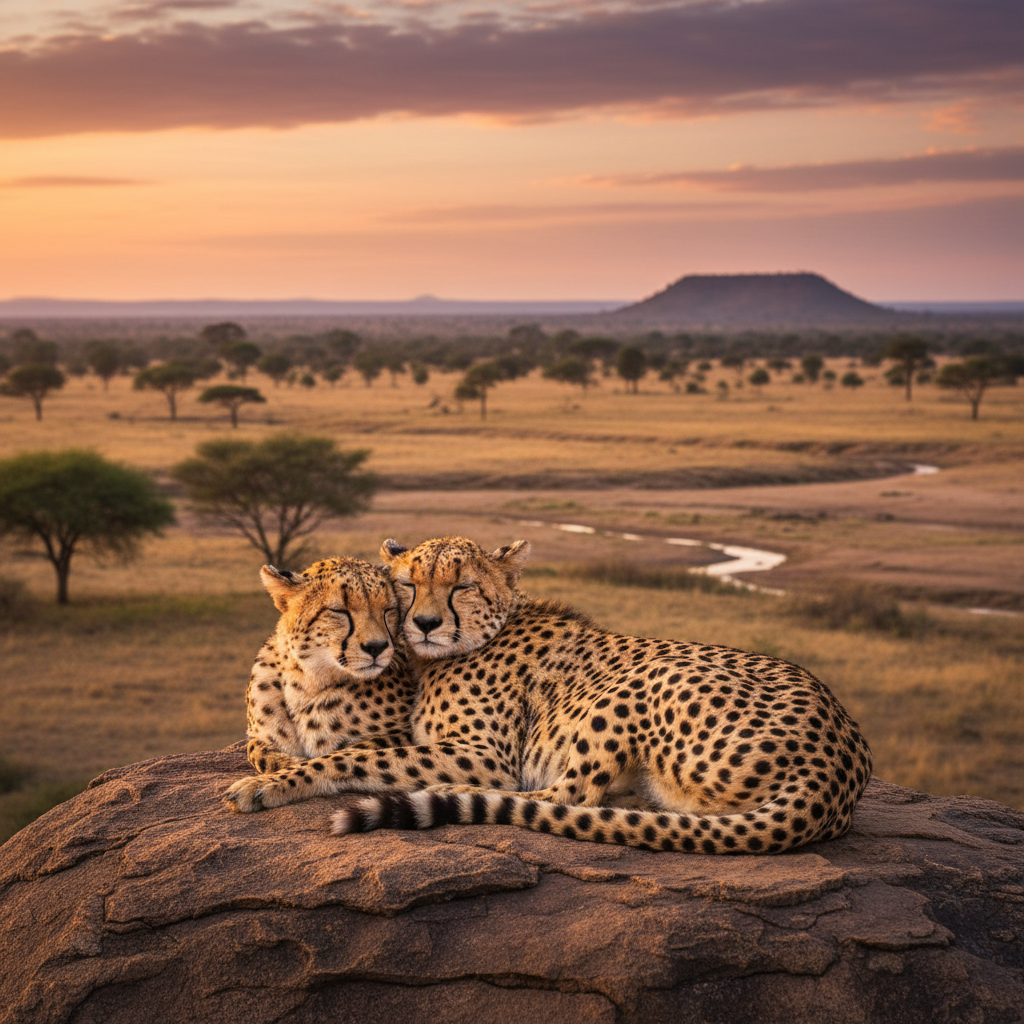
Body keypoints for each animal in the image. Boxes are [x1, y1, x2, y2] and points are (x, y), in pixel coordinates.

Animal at [224, 556, 418, 806]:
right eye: (339, 611)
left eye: (389, 610)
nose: (376, 647)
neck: (306, 682)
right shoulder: (260, 736)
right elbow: (254, 748)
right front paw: (288, 763)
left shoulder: (408, 733)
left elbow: (344, 753)